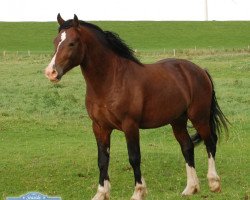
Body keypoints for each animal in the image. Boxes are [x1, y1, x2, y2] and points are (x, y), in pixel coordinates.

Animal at [44, 14, 229, 200]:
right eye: (55, 41)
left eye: (72, 43)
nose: (51, 72)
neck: (111, 80)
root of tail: (200, 70)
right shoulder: (99, 127)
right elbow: (102, 160)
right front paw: (101, 193)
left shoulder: (130, 125)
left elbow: (134, 157)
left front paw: (139, 192)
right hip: (178, 120)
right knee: (187, 147)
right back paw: (191, 188)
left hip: (199, 117)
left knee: (210, 142)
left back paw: (214, 183)